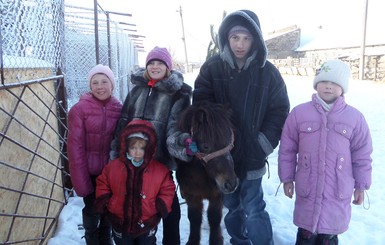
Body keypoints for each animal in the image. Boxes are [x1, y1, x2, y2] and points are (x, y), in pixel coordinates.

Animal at [175, 101, 240, 245]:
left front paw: (217, 239)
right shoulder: (192, 196)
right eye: (205, 146)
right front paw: (193, 241)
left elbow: (214, 218)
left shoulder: (217, 195)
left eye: (230, 141)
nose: (231, 184)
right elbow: (195, 218)